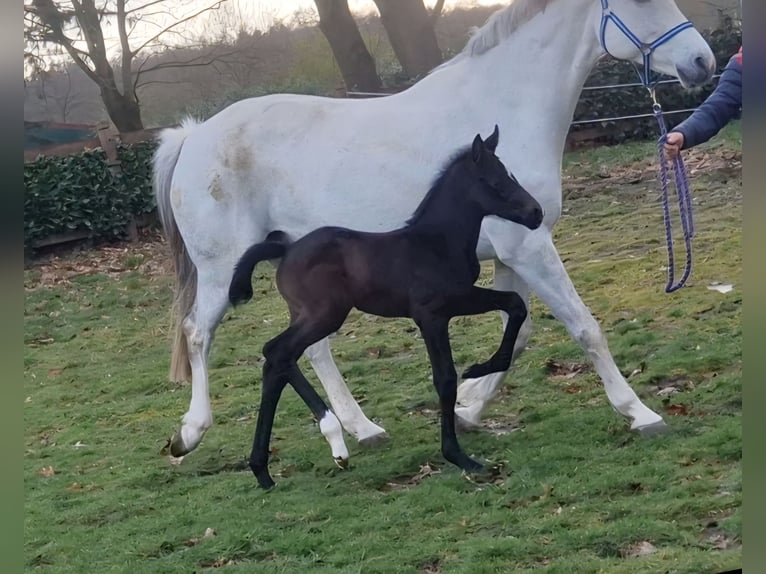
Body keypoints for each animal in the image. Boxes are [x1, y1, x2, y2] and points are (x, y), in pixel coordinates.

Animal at [228, 128, 544, 488]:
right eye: (493, 181)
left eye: (509, 175)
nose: (536, 213)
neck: (437, 242)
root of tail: (288, 249)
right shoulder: (431, 314)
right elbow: (445, 379)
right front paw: (459, 456)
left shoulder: (456, 302)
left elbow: (515, 304)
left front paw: (480, 367)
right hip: (324, 315)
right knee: (278, 353)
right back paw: (314, 449)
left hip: (309, 316)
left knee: (278, 358)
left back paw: (266, 468)